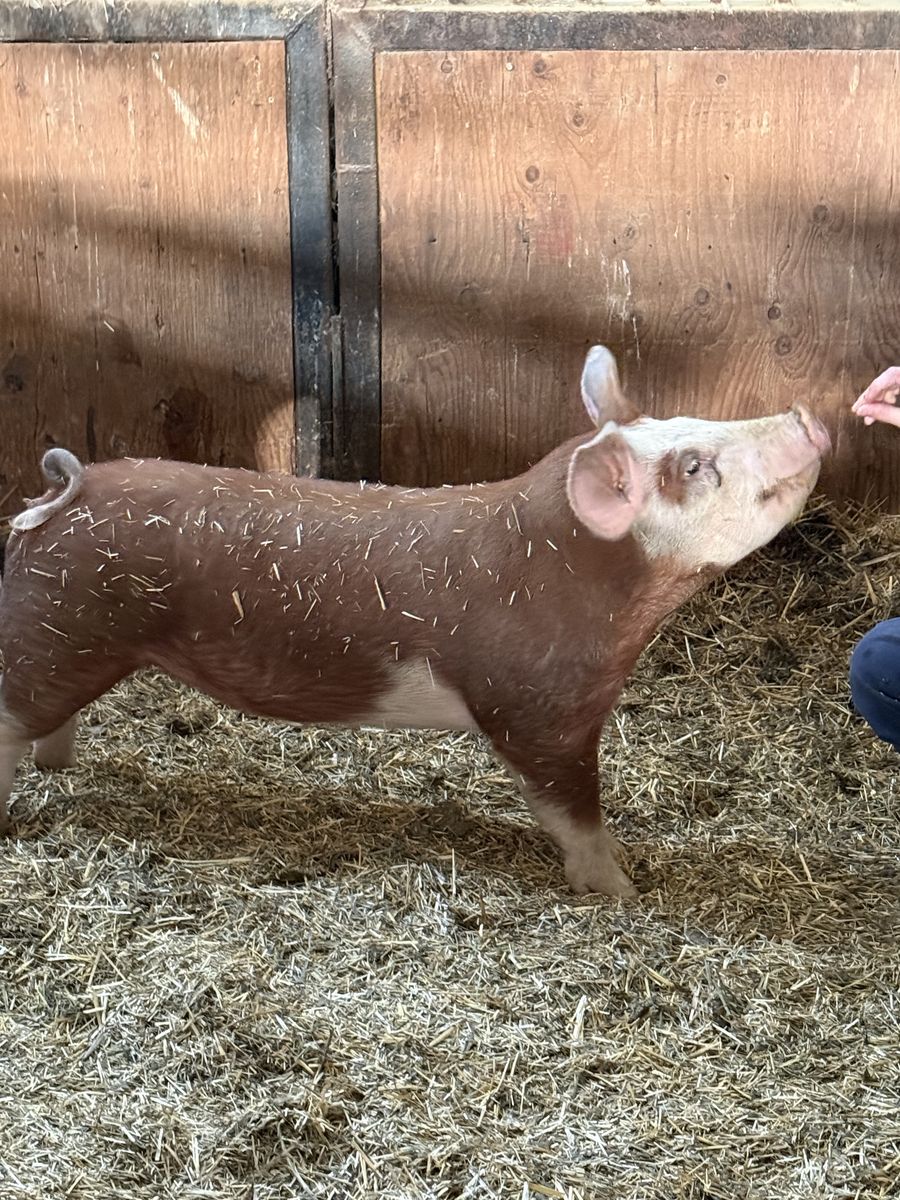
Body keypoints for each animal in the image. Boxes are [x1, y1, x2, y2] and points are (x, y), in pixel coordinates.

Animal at [0, 347, 830, 896]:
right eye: (693, 466)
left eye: (684, 424)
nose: (806, 415)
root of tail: (62, 498)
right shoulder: (539, 713)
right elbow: (572, 812)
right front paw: (620, 891)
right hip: (51, 630)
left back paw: (59, 767)